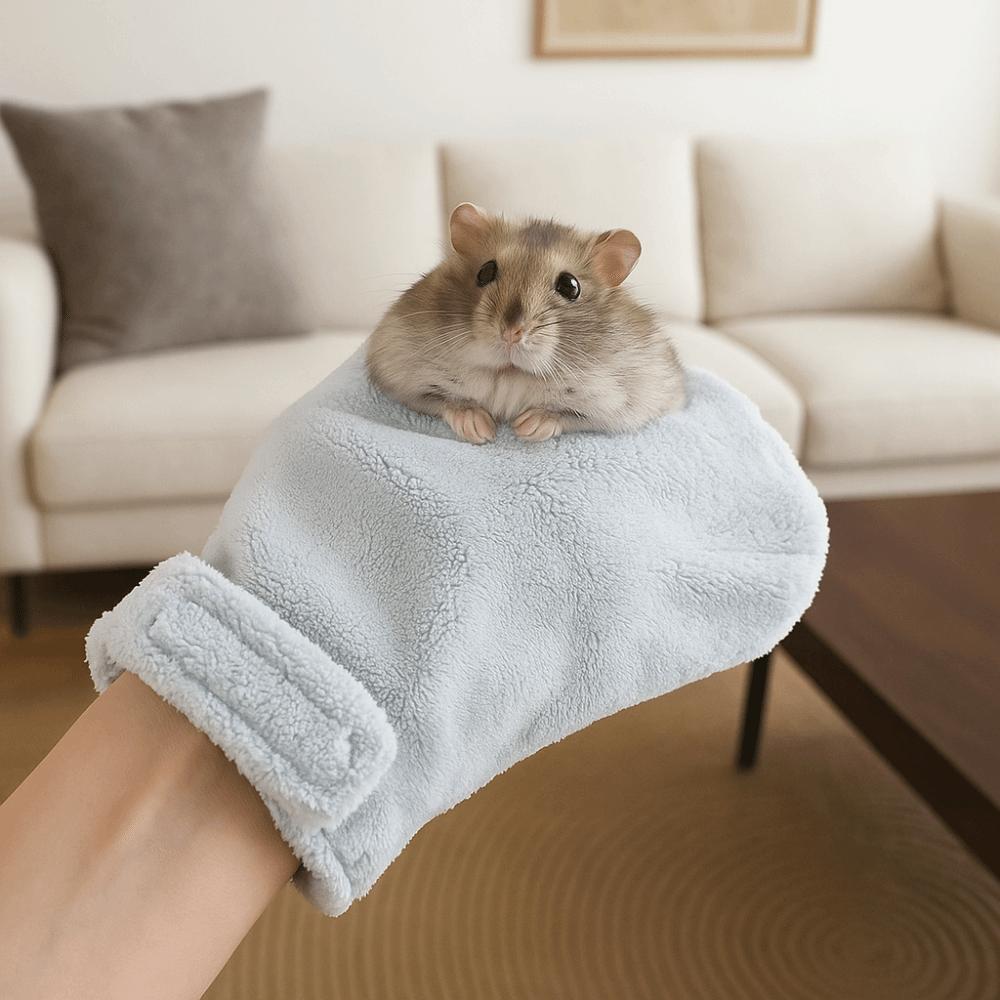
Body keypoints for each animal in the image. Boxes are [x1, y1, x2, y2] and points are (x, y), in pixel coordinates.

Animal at [366, 203, 686, 444]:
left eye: (570, 286)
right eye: (485, 271)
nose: (511, 333)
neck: (511, 373)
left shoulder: (627, 404)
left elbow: (571, 416)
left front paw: (526, 428)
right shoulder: (400, 377)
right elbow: (445, 401)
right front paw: (481, 431)